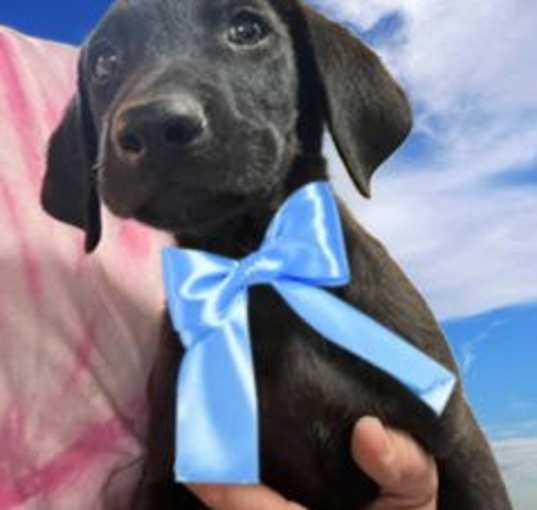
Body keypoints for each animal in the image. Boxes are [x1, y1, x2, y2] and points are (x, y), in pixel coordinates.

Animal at [42, 0, 510, 510]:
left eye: (247, 29)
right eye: (105, 62)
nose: (153, 123)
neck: (254, 267)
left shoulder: (459, 442)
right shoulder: (166, 473)